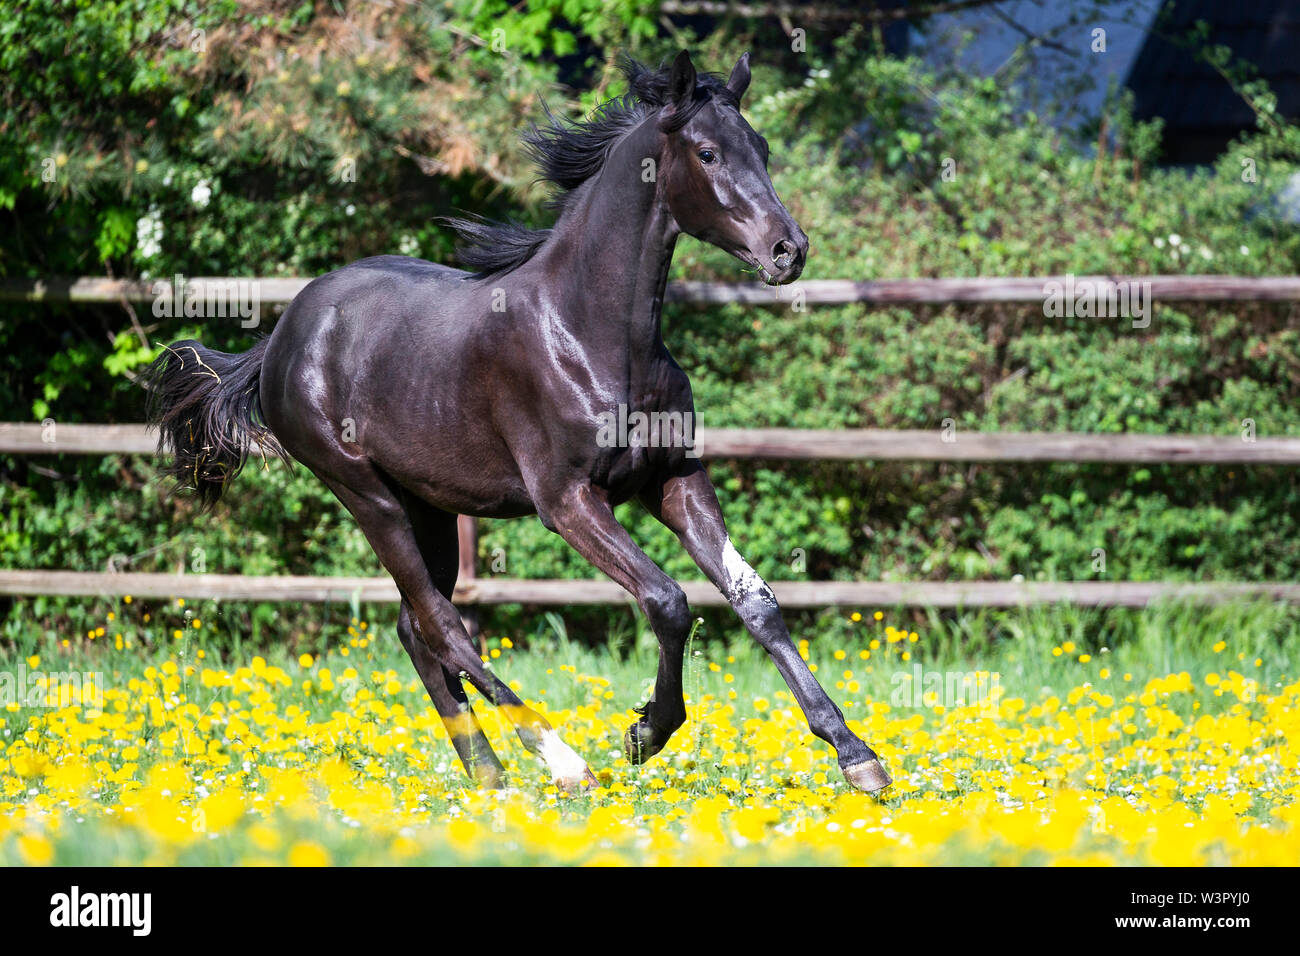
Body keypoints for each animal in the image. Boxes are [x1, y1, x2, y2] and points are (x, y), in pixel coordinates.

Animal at [144, 50, 894, 790]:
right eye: (708, 153)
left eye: (761, 148)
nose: (789, 250)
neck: (591, 334)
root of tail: (280, 337)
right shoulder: (567, 501)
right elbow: (667, 600)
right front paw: (645, 733)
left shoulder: (676, 480)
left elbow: (754, 598)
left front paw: (856, 754)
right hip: (367, 495)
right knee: (442, 624)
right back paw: (560, 761)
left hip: (430, 506)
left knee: (416, 629)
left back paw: (490, 778)